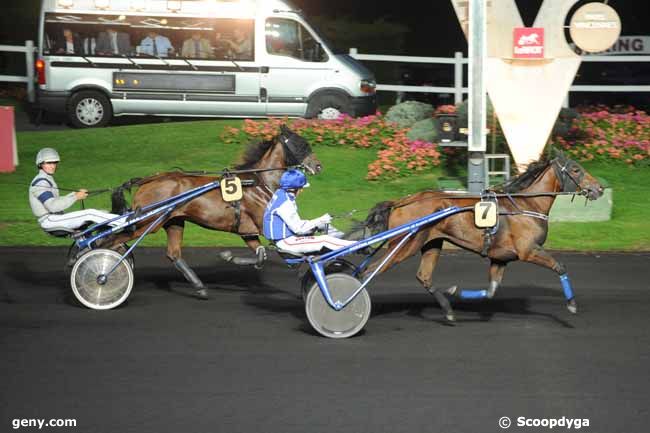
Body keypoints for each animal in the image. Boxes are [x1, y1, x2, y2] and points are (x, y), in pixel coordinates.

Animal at [106, 125, 322, 298]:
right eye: (301, 145)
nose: (318, 165)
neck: (259, 183)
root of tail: (147, 180)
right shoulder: (265, 226)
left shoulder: (247, 231)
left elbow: (261, 255)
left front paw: (229, 257)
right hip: (148, 224)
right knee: (111, 240)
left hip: (174, 222)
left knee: (173, 254)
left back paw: (199, 287)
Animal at [354, 152, 604, 324]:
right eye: (576, 169)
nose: (599, 188)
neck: (526, 205)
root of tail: (400, 202)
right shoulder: (529, 250)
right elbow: (560, 267)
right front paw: (572, 305)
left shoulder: (500, 258)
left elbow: (491, 290)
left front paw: (455, 291)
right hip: (405, 245)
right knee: (367, 272)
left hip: (431, 243)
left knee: (423, 276)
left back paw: (448, 310)